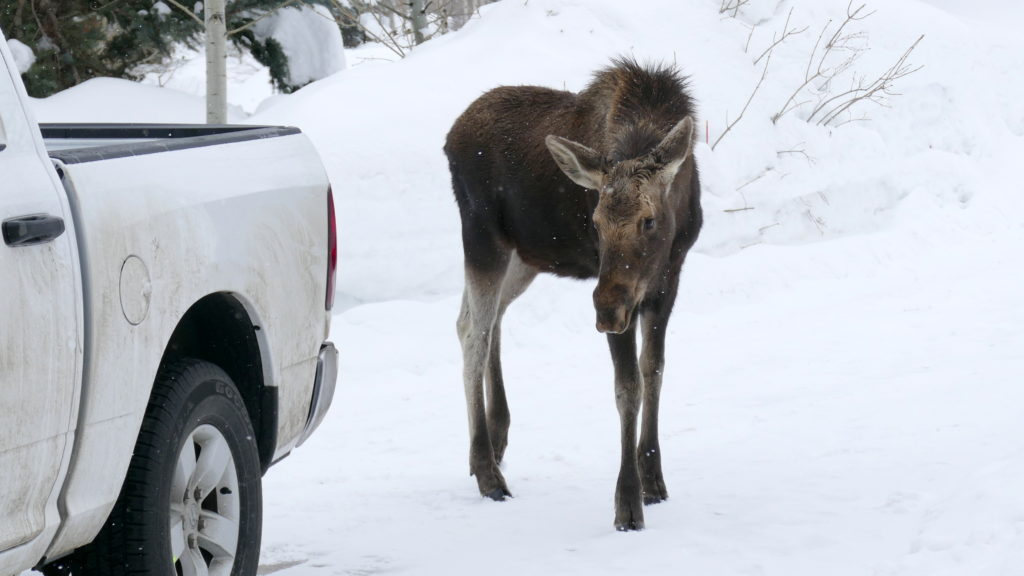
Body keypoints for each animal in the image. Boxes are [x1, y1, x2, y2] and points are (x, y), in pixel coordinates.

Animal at [444, 58, 700, 528]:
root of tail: (450, 137)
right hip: (482, 236)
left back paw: (493, 442)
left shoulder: (668, 279)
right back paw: (488, 473)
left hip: (525, 255)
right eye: (595, 221)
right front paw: (627, 503)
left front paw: (653, 480)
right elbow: (628, 385)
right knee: (474, 332)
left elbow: (654, 370)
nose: (605, 310)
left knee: (480, 318)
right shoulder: (626, 292)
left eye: (649, 220)